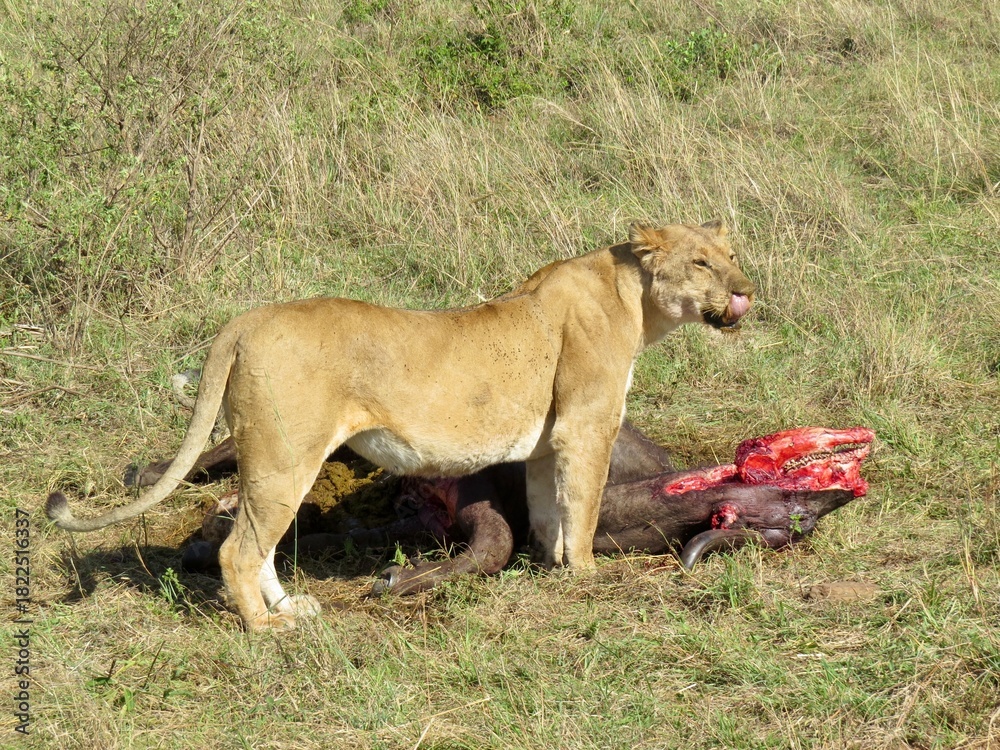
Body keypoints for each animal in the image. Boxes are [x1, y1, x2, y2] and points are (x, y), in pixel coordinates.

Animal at [47, 220, 755, 630]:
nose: (745, 289)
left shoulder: (545, 442)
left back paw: (291, 606)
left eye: (730, 254)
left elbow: (549, 509)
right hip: (285, 455)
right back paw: (267, 628)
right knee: (238, 548)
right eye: (701, 264)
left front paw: (548, 565)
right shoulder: (587, 425)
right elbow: (580, 507)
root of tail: (243, 320)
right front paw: (583, 574)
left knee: (259, 543)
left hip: (274, 462)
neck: (635, 300)